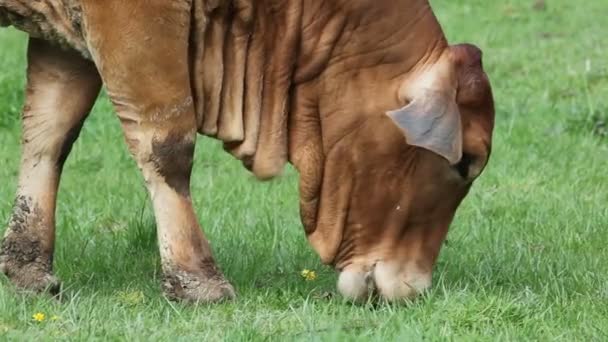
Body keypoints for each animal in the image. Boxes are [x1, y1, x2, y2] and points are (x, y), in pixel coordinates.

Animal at [0, 0, 494, 304]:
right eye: (465, 162)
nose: (415, 286)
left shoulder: (65, 34)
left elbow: (49, 136)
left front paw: (27, 268)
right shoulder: (131, 19)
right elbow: (167, 145)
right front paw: (197, 280)